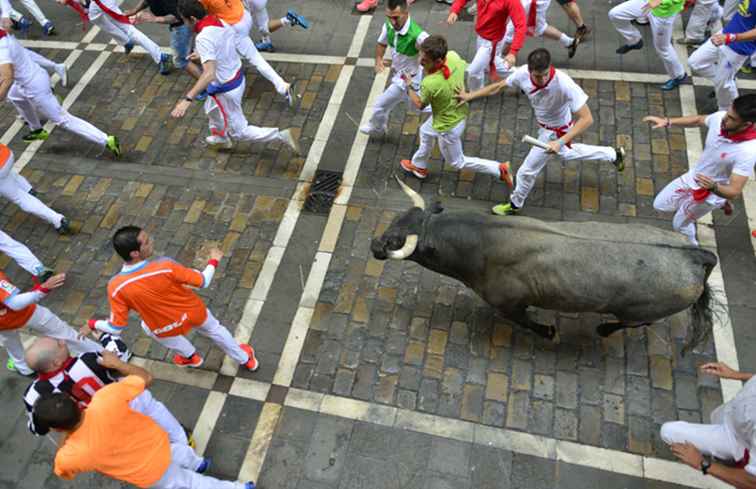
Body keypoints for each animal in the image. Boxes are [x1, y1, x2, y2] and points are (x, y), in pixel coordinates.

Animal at [372, 179, 720, 350]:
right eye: (397, 219)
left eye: (397, 242)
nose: (375, 245)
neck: (484, 240)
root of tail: (696, 255)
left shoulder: (509, 304)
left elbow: (527, 322)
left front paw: (549, 332)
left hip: (640, 311)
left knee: (635, 322)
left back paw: (603, 328)